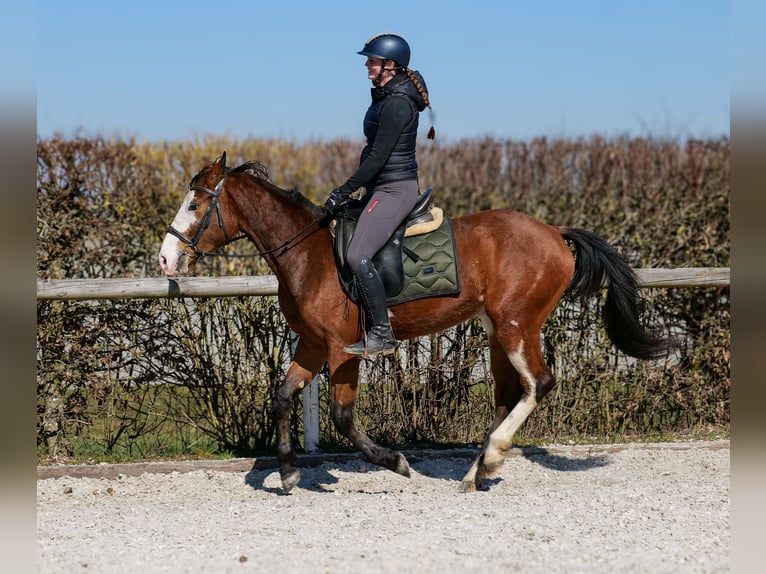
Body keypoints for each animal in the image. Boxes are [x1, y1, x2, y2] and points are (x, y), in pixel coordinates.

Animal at [158, 153, 672, 496]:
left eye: (195, 206)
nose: (166, 258)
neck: (307, 253)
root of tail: (554, 233)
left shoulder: (342, 349)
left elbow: (343, 417)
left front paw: (396, 462)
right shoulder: (311, 344)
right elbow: (283, 397)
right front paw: (286, 472)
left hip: (516, 325)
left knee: (539, 385)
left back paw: (492, 457)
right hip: (496, 332)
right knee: (508, 395)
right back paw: (476, 472)